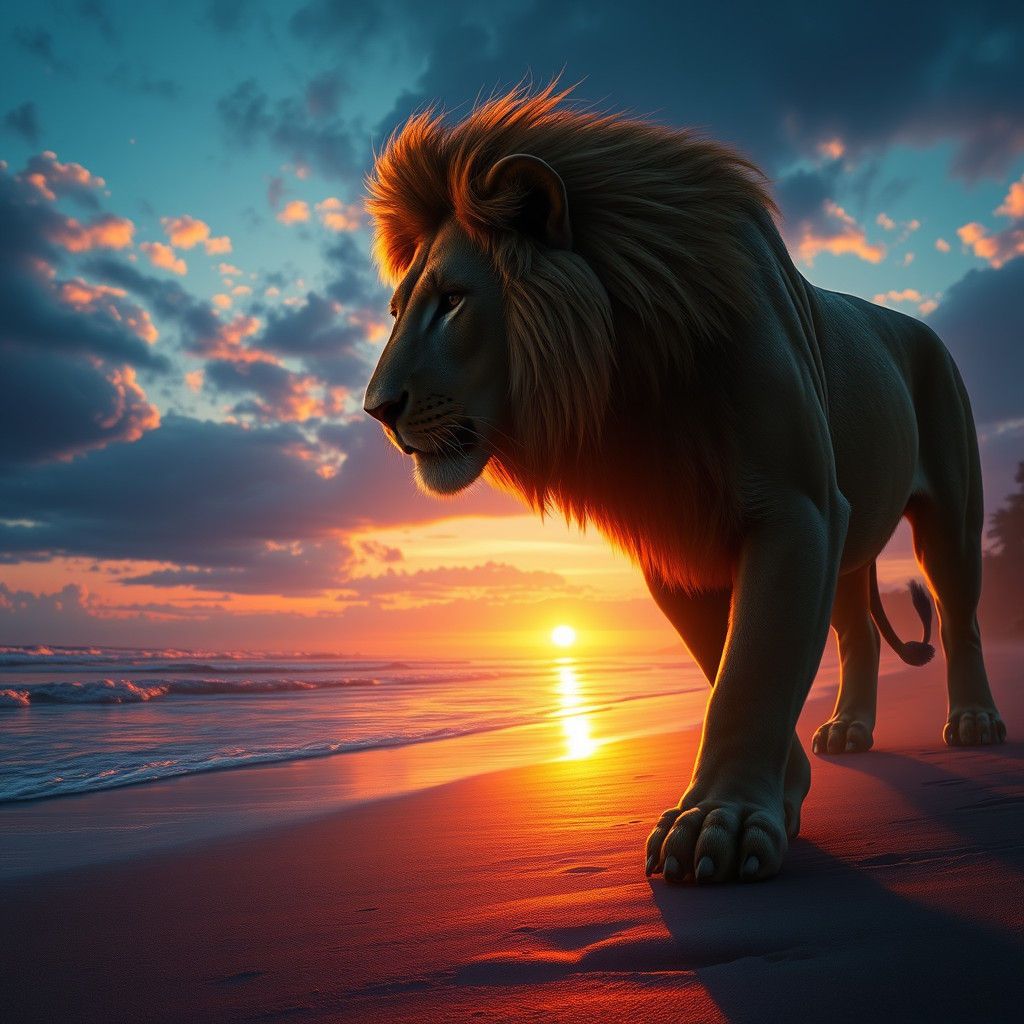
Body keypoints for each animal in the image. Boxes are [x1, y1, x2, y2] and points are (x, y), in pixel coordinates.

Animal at [362, 82, 1006, 884]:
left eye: (452, 300)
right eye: (396, 312)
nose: (376, 408)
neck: (630, 385)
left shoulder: (796, 507)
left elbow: (752, 665)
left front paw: (721, 820)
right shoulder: (678, 540)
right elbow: (725, 661)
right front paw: (777, 794)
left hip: (949, 511)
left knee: (959, 617)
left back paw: (975, 721)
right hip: (851, 539)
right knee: (858, 634)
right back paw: (848, 730)